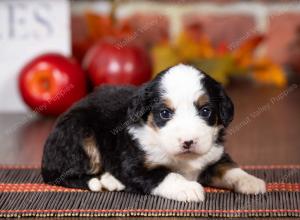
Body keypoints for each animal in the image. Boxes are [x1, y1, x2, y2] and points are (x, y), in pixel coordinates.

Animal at [41, 63, 264, 201]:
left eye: (205, 111)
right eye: (165, 113)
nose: (188, 142)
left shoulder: (214, 156)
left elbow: (230, 169)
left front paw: (251, 181)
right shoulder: (135, 166)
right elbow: (166, 175)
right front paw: (188, 188)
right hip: (80, 134)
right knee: (61, 176)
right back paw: (102, 181)